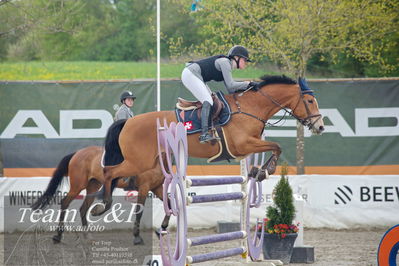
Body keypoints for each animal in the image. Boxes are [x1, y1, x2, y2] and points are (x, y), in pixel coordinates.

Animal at [96, 75, 324, 245]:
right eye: (310, 101)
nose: (320, 126)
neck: (250, 107)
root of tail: (128, 123)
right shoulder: (243, 145)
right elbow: (276, 146)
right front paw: (264, 171)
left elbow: (274, 148)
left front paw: (258, 171)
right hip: (137, 162)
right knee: (109, 172)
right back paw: (103, 205)